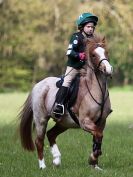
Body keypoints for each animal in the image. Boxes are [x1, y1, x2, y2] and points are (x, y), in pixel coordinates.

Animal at [18, 33, 112, 170]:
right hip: (41, 119)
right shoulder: (85, 122)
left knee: (51, 134)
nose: (108, 69)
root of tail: (38, 85)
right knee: (39, 141)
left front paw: (95, 164)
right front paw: (93, 158)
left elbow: (97, 138)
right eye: (94, 55)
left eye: (106, 52)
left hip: (64, 123)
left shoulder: (101, 122)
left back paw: (56, 159)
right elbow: (99, 135)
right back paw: (43, 166)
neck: (96, 90)